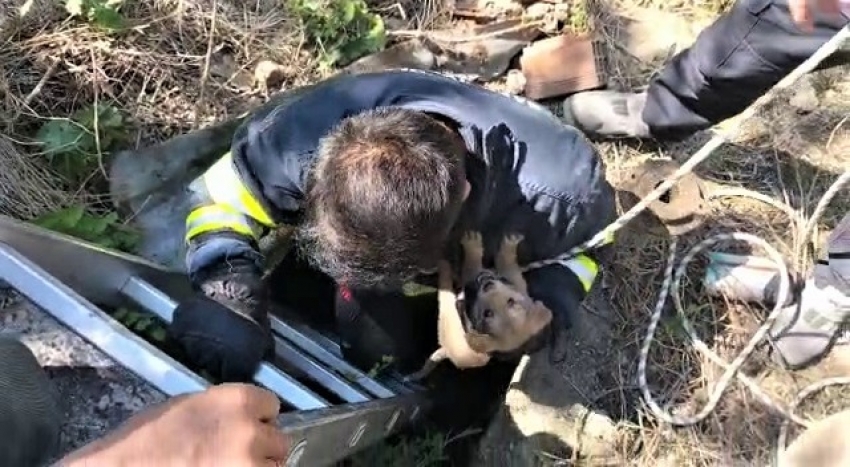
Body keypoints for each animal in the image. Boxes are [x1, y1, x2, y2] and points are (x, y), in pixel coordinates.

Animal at [406, 232, 552, 382]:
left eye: (487, 313)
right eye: (510, 301)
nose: (487, 284)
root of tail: (447, 351)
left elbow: (476, 266)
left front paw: (473, 243)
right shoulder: (519, 288)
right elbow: (509, 268)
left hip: (449, 320)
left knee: (445, 289)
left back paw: (443, 268)